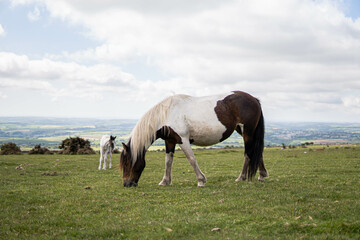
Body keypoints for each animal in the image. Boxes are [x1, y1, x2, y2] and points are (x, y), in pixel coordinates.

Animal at [121, 91, 268, 187]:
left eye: (127, 163)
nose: (127, 184)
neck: (167, 113)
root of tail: (254, 99)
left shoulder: (182, 140)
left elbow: (191, 159)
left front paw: (201, 180)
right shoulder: (170, 141)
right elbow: (168, 161)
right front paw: (165, 181)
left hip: (247, 132)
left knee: (248, 153)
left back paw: (241, 178)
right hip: (244, 131)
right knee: (256, 152)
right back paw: (262, 175)